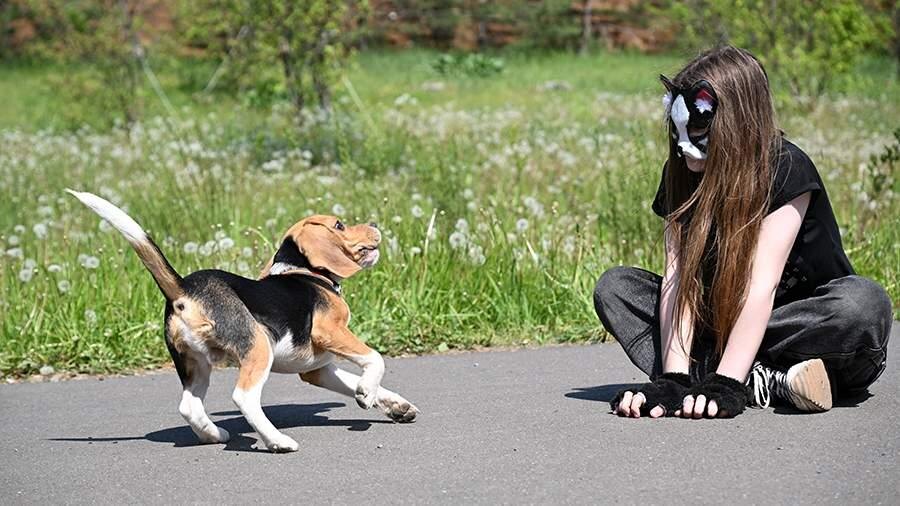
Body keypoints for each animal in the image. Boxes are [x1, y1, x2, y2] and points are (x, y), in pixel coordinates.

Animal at [68, 191, 420, 454]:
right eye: (340, 224)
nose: (374, 224)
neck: (306, 272)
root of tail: (184, 288)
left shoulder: (316, 369)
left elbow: (358, 381)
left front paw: (392, 404)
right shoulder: (331, 331)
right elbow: (375, 359)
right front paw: (367, 393)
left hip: (195, 363)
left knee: (189, 406)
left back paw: (213, 435)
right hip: (258, 347)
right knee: (244, 398)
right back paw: (277, 441)